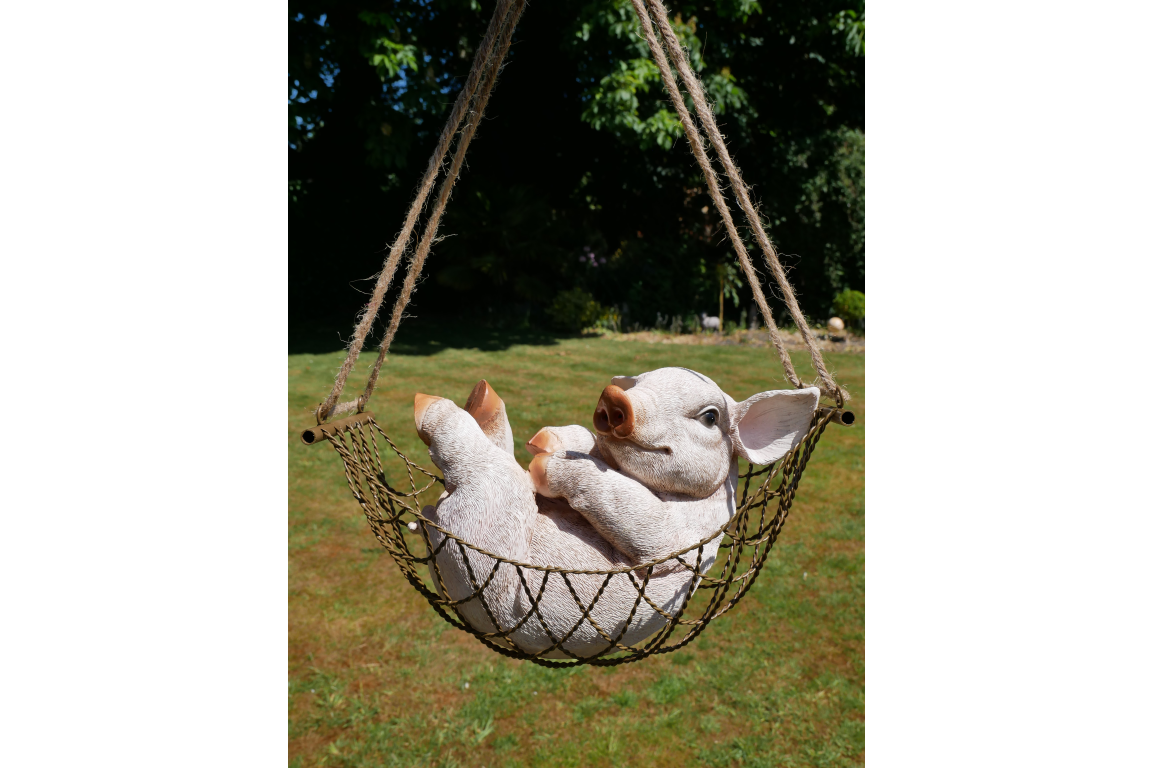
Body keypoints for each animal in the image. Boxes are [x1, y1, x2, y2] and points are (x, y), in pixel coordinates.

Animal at [412, 369, 819, 659]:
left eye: (709, 417)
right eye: (639, 382)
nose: (613, 395)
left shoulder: (691, 530)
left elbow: (648, 521)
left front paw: (545, 464)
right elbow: (590, 444)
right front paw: (548, 439)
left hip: (487, 533)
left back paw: (437, 404)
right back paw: (481, 399)